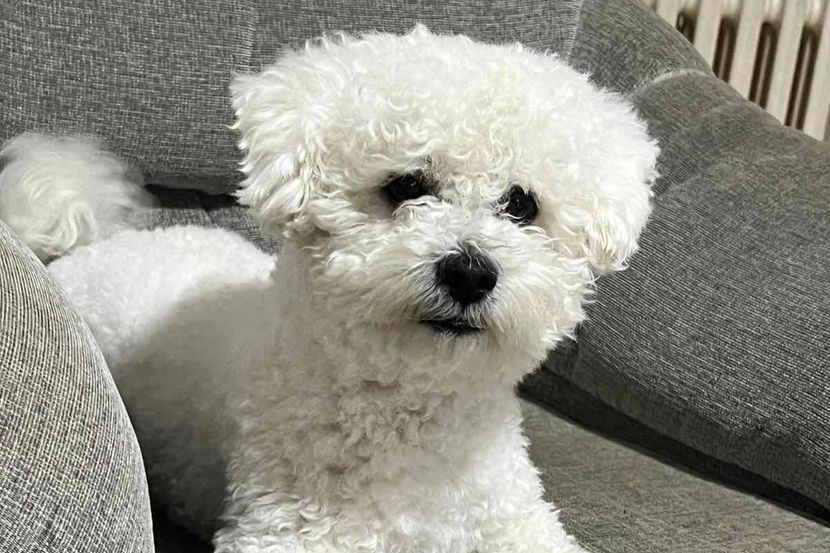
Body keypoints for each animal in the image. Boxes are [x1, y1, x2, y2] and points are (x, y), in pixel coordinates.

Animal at [0, 26, 657, 553]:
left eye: (522, 204)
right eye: (405, 185)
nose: (471, 272)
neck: (410, 411)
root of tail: (90, 242)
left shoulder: (513, 521)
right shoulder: (285, 529)